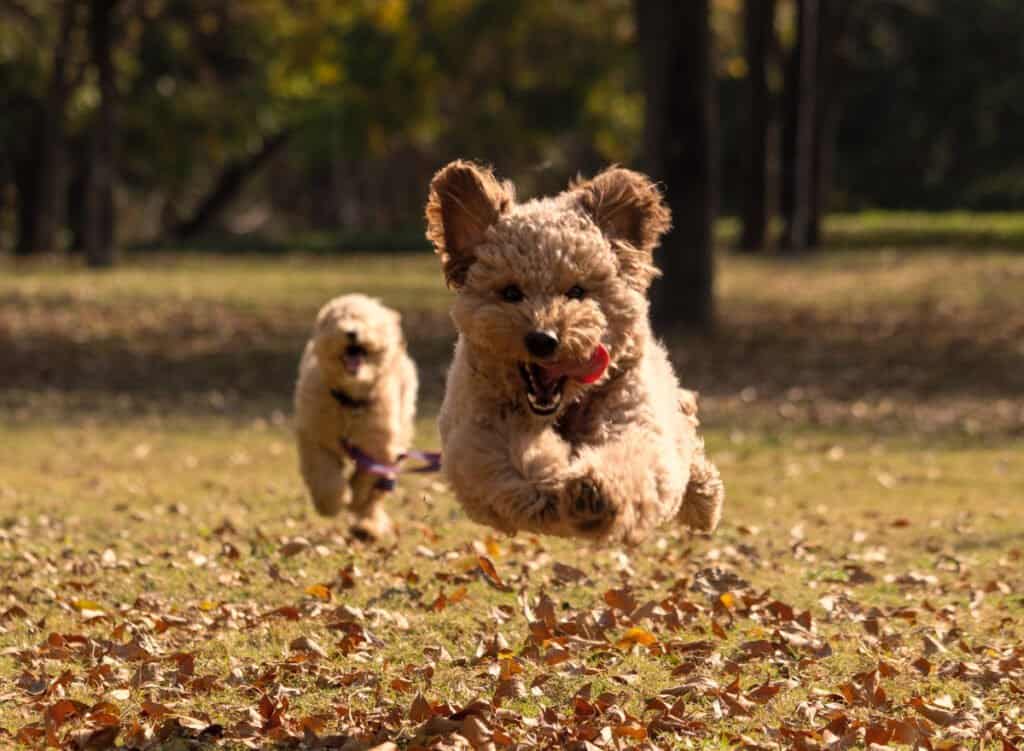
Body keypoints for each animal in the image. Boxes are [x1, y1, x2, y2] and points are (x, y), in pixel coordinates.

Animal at [292, 293, 415, 540]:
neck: (350, 402)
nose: (351, 332)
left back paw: (368, 526)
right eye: (339, 319)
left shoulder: (379, 446)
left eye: (366, 321)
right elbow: (324, 476)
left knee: (377, 494)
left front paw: (356, 499)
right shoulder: (315, 439)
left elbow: (366, 480)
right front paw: (332, 502)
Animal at [428, 160, 724, 540]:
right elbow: (516, 463)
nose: (543, 338)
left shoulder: (632, 410)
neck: (562, 409)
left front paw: (596, 492)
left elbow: (635, 454)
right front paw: (561, 487)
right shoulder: (480, 433)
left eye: (577, 291)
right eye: (511, 292)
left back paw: (703, 499)